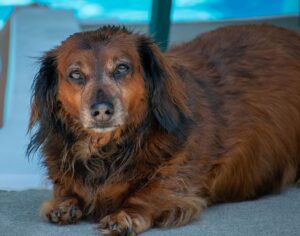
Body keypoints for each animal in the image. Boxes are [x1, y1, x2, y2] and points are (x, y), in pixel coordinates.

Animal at [28, 24, 300, 235]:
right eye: (75, 74)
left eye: (122, 68)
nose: (102, 110)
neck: (108, 151)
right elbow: (67, 189)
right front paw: (65, 204)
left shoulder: (179, 177)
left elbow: (150, 194)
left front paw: (125, 215)